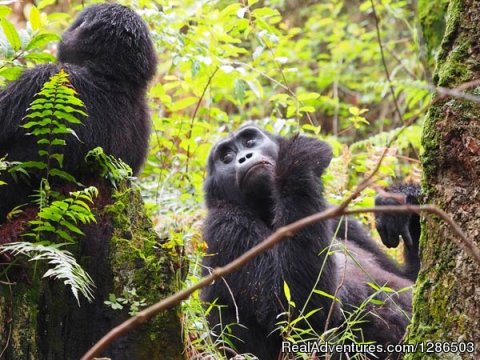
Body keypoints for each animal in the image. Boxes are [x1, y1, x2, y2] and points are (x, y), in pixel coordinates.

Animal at [201, 126, 414, 360]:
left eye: (250, 142)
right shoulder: (225, 226)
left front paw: (404, 199)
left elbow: (412, 276)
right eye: (227, 157)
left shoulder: (338, 216)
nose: (244, 157)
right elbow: (298, 313)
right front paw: (299, 160)